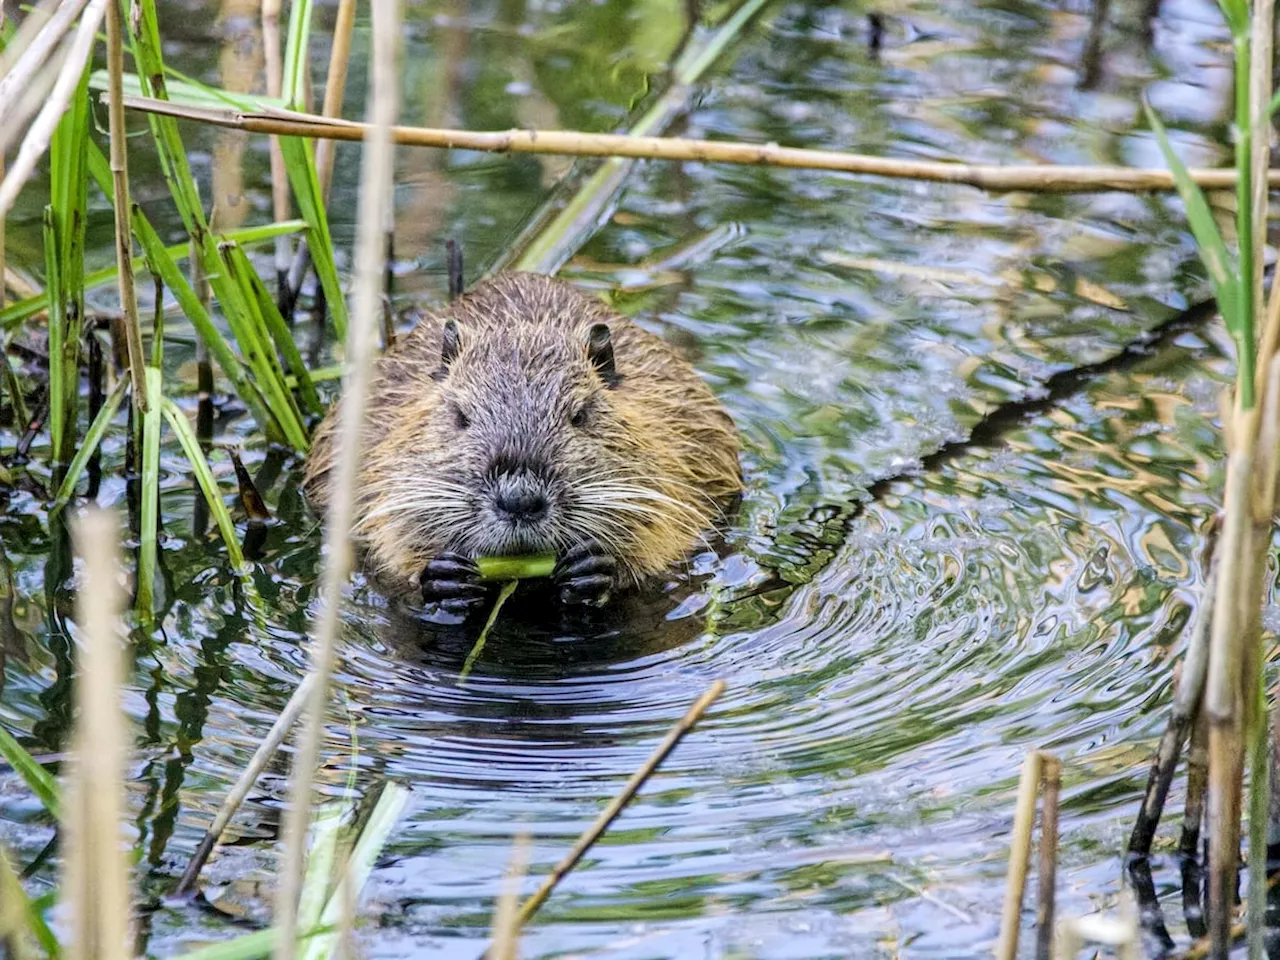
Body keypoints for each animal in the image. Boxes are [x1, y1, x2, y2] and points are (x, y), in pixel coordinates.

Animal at [303, 273, 742, 611]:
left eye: (580, 414)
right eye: (460, 415)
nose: (519, 500)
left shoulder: (675, 443)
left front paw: (595, 569)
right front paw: (444, 577)